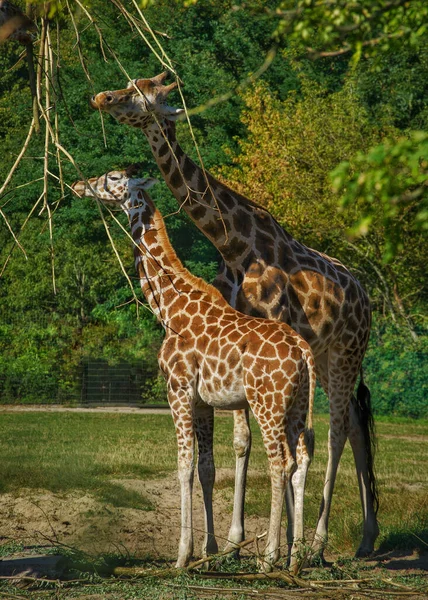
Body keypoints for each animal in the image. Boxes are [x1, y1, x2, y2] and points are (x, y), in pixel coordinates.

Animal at [72, 169, 316, 572]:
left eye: (113, 177)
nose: (80, 186)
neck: (170, 310)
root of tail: (303, 350)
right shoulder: (203, 401)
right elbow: (206, 468)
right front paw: (209, 550)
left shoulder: (179, 388)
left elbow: (183, 465)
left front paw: (182, 554)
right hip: (297, 404)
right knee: (302, 459)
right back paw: (295, 558)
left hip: (267, 402)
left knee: (281, 462)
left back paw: (269, 558)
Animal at [89, 71, 378, 556]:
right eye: (130, 83)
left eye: (143, 93)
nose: (102, 96)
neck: (235, 245)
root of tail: (365, 295)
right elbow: (242, 442)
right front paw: (233, 541)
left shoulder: (271, 327)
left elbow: (284, 443)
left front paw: (278, 542)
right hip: (322, 356)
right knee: (355, 424)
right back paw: (366, 537)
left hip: (345, 353)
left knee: (336, 431)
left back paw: (318, 543)